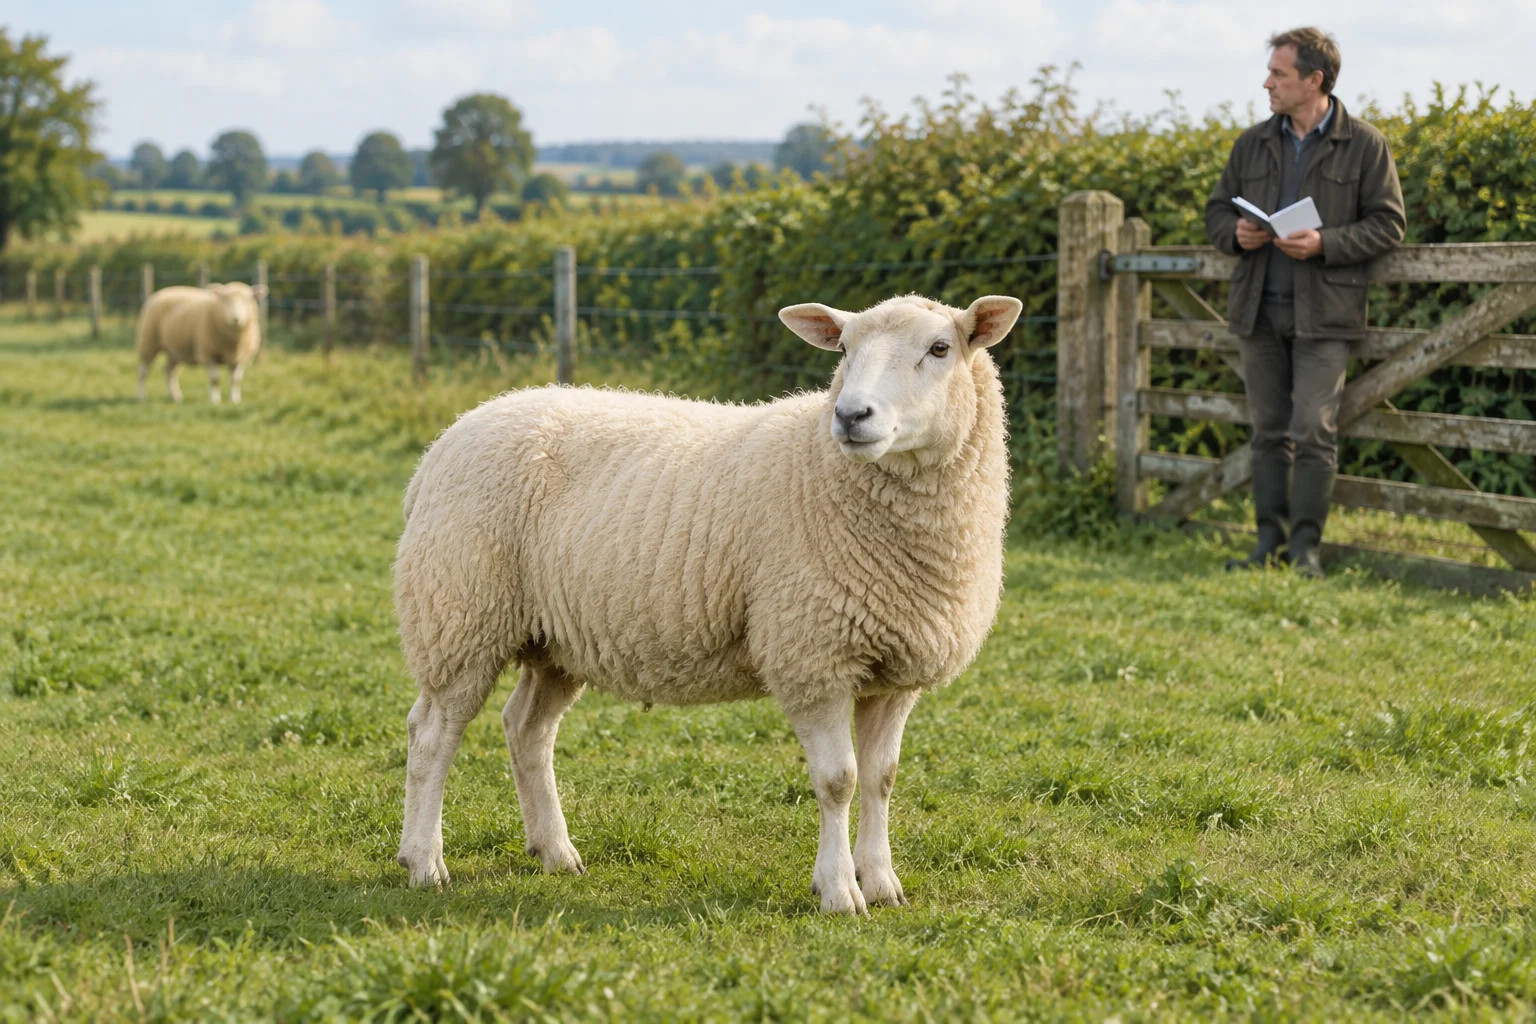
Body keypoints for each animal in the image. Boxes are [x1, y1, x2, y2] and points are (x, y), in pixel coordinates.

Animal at [134, 283, 265, 404]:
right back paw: (141, 397)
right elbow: (215, 379)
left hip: (175, 351)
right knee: (143, 372)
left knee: (169, 371)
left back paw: (175, 397)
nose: (236, 318)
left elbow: (236, 380)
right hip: (148, 343)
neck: (233, 344)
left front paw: (235, 401)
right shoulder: (207, 354)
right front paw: (215, 401)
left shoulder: (242, 358)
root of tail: (162, 292)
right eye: (225, 298)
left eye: (249, 299)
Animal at [392, 292, 1022, 914]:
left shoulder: (895, 669)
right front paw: (840, 890)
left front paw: (883, 883)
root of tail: (441, 446)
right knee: (432, 733)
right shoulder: (810, 657)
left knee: (526, 729)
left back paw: (554, 852)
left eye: (939, 348)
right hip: (459, 612)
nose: (850, 416)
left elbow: (881, 778)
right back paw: (423, 861)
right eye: (843, 349)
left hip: (553, 639)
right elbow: (838, 780)